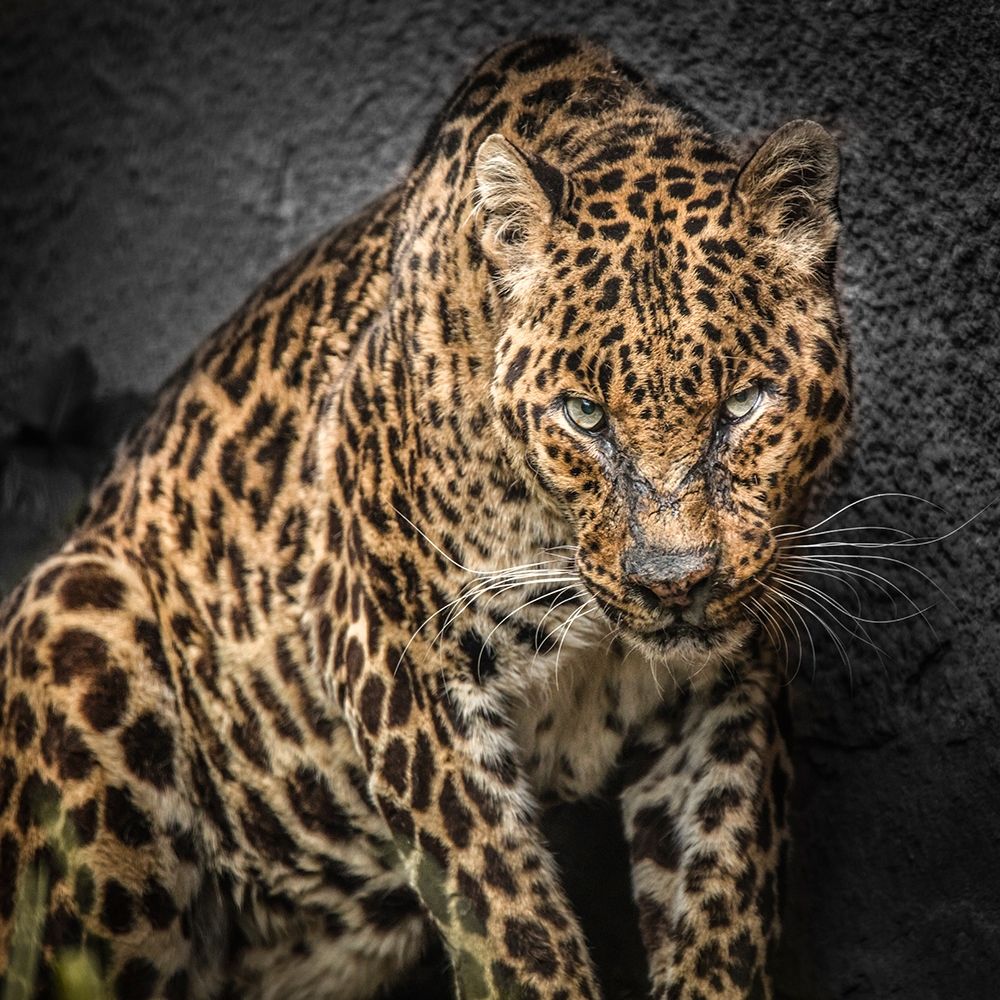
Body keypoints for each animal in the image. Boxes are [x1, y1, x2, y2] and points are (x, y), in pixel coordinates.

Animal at [0, 35, 849, 1000]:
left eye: (742, 406)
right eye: (584, 416)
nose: (673, 583)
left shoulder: (725, 691)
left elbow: (721, 910)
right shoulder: (406, 672)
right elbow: (513, 929)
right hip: (73, 616)